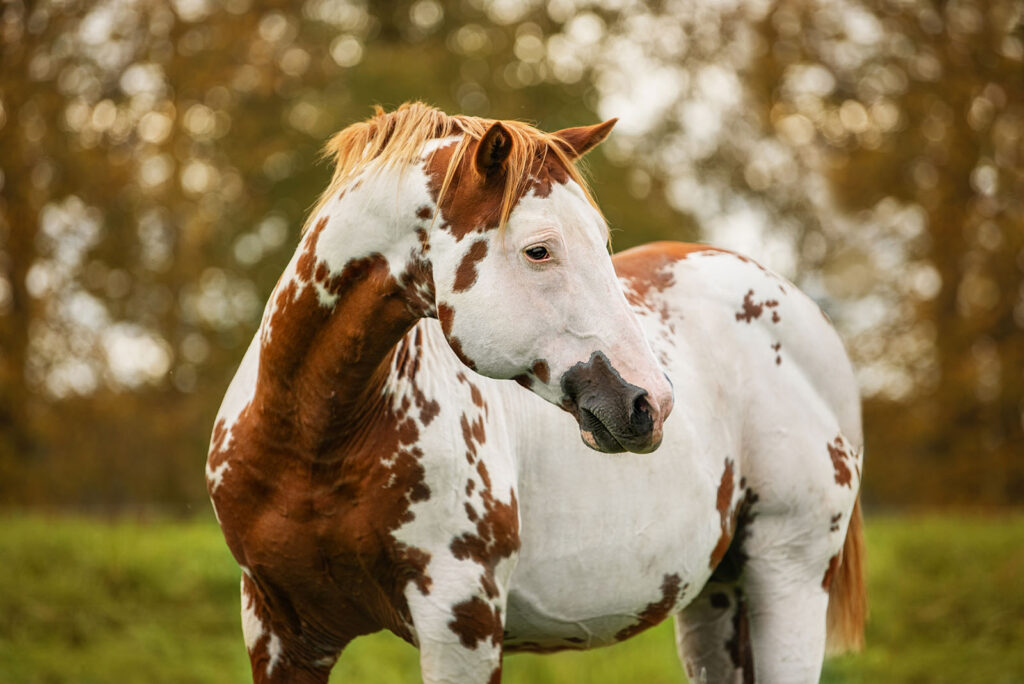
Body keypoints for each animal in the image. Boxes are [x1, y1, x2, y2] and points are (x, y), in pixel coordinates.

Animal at [207, 101, 864, 684]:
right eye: (539, 250)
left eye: (601, 242)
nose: (651, 403)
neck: (315, 440)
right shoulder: (279, 632)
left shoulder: (461, 624)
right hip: (717, 597)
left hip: (789, 574)